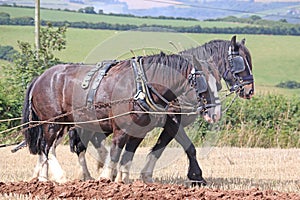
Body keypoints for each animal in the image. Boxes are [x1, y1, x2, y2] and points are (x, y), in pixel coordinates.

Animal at [21, 52, 218, 184]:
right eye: (203, 84)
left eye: (219, 82)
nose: (214, 114)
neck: (141, 88)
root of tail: (40, 77)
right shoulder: (122, 129)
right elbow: (116, 152)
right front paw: (106, 178)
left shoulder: (139, 131)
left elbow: (128, 155)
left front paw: (123, 181)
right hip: (51, 123)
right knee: (47, 148)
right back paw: (58, 177)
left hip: (67, 123)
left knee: (56, 148)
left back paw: (45, 177)